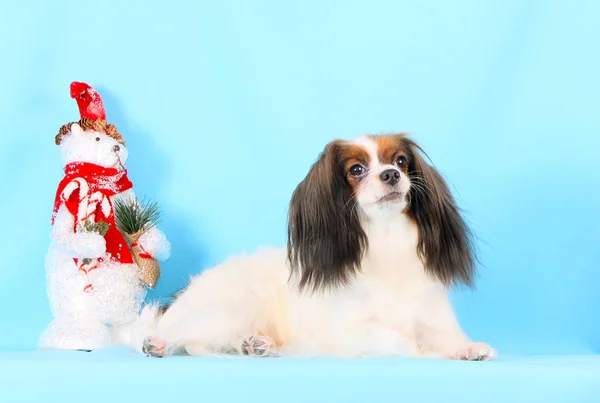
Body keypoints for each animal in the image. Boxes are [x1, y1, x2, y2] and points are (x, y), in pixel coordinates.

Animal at [113, 134, 496, 362]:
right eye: (356, 169)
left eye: (401, 161)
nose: (391, 175)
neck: (387, 243)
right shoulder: (351, 332)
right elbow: (399, 340)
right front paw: (425, 353)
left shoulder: (430, 318)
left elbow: (442, 337)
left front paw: (466, 349)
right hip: (228, 306)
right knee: (176, 334)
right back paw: (158, 343)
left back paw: (255, 345)